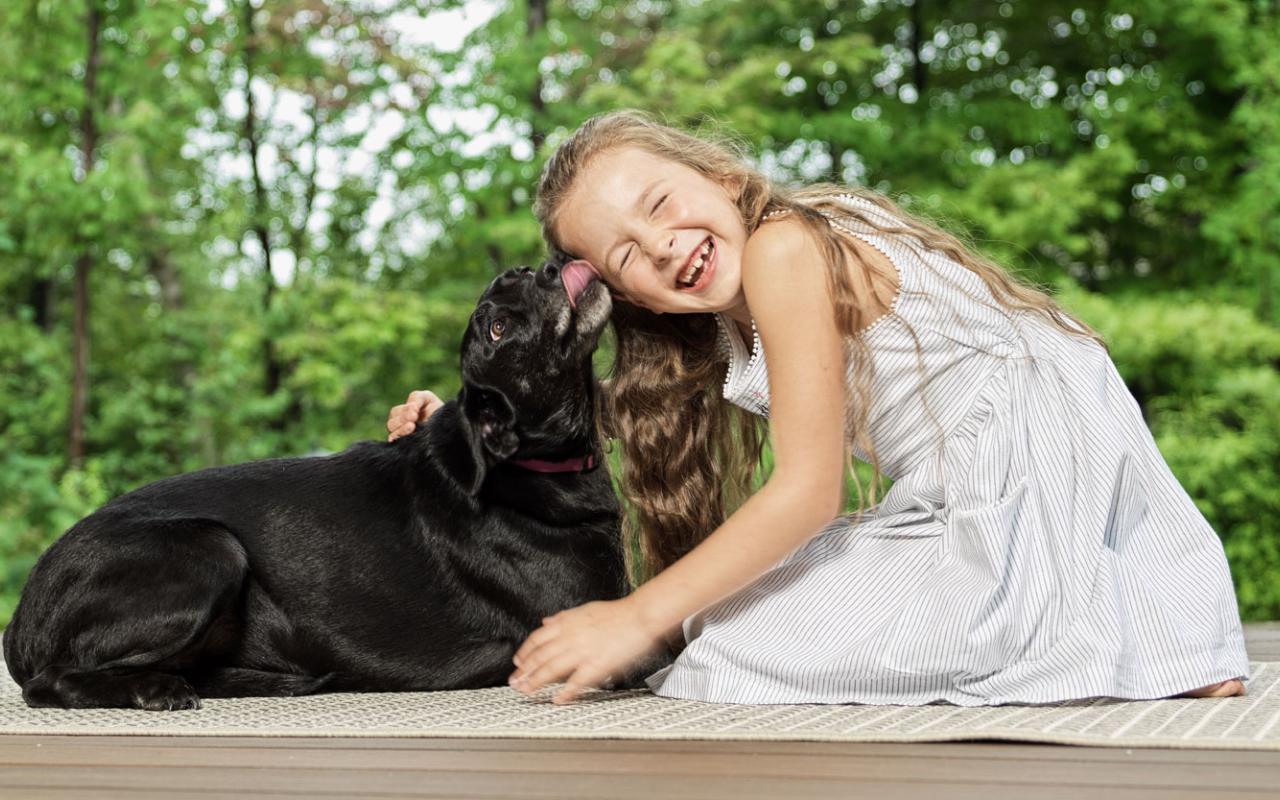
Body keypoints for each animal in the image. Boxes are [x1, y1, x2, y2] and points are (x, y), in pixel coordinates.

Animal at [0, 263, 640, 711]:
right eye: (498, 328)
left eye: (520, 278)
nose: (543, 266)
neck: (529, 467)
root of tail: (20, 620)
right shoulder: (596, 632)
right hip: (211, 547)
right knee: (48, 683)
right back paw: (154, 689)